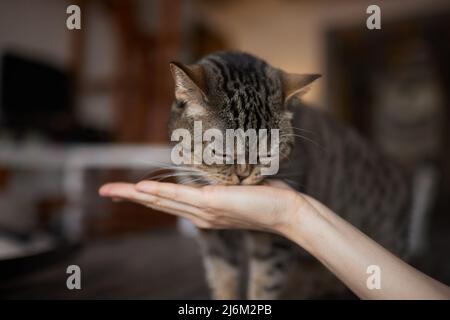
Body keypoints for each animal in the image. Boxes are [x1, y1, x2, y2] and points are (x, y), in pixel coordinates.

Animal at [168, 51, 412, 298]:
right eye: (221, 152)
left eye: (267, 154)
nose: (243, 175)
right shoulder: (214, 238)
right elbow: (222, 279)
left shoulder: (273, 244)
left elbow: (263, 285)